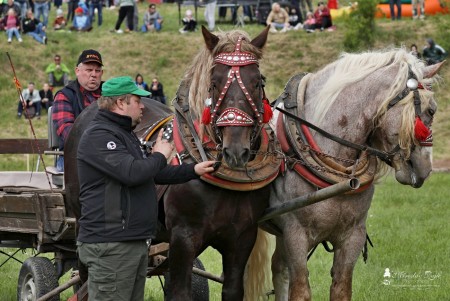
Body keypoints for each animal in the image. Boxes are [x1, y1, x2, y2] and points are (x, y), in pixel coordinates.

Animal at [266, 50, 444, 298]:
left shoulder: (353, 236)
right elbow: (300, 290)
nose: (426, 168)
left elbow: (342, 289)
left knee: (278, 268)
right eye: (431, 110)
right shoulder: (295, 234)